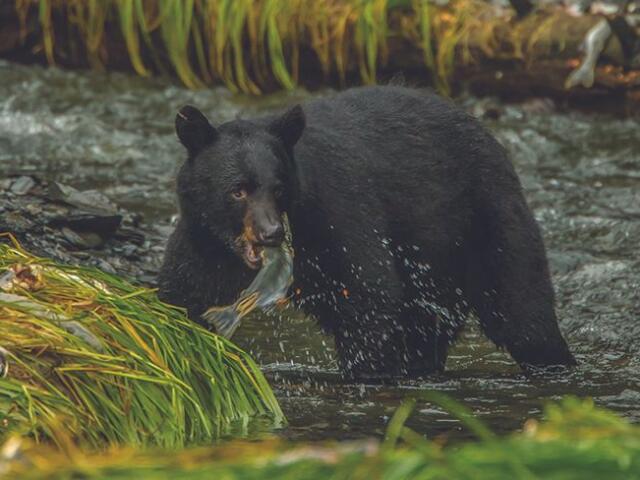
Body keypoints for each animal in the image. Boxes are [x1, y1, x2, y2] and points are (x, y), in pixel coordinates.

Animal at [158, 85, 576, 380]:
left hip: (487, 216)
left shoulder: (337, 215)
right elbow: (186, 294)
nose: (271, 233)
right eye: (238, 190)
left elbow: (369, 295)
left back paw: (555, 362)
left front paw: (367, 372)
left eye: (278, 189)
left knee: (522, 308)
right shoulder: (202, 239)